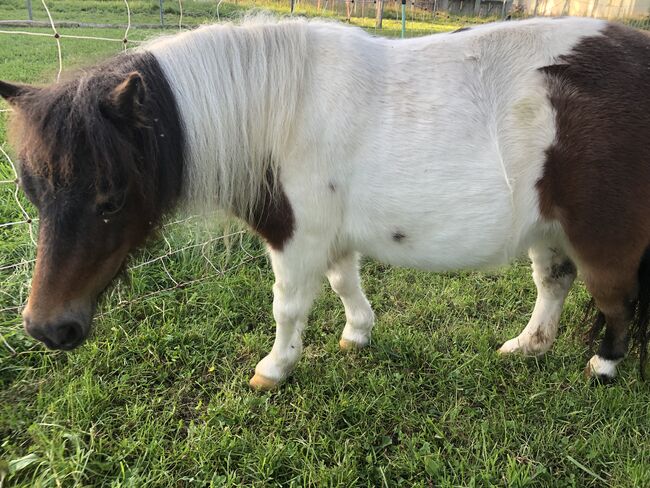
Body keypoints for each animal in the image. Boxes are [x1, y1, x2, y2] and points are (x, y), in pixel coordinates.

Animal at [1, 17, 648, 386]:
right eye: (34, 195)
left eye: (109, 201)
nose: (45, 328)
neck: (276, 113)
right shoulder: (330, 234)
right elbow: (343, 281)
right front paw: (357, 334)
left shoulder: (297, 236)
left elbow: (288, 306)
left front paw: (275, 369)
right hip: (546, 225)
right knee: (554, 282)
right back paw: (528, 347)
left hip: (604, 234)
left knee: (615, 298)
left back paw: (604, 365)